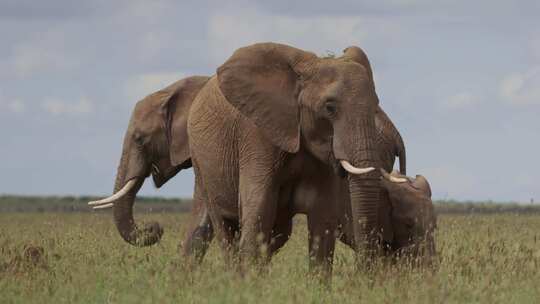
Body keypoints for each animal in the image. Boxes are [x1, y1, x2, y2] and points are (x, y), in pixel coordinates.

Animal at [186, 41, 396, 270]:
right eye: (329, 107)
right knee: (224, 227)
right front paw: (249, 280)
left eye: (375, 105)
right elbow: (258, 210)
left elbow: (323, 220)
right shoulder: (257, 135)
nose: (364, 270)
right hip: (202, 164)